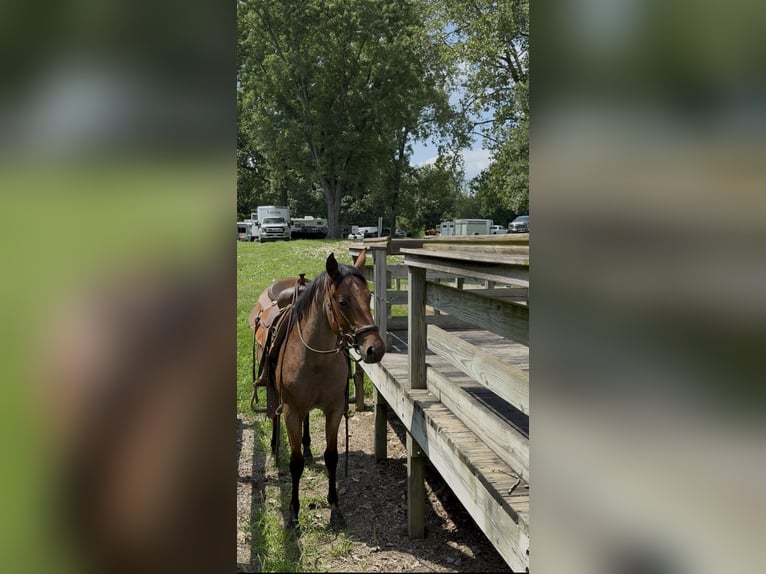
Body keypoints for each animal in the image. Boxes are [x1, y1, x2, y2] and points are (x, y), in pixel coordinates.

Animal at [249, 249, 385, 527]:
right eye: (342, 302)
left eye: (368, 297)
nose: (374, 349)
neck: (315, 359)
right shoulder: (291, 410)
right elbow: (295, 463)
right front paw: (293, 512)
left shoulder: (335, 409)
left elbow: (332, 457)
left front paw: (335, 506)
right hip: (277, 394)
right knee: (275, 415)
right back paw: (275, 447)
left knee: (308, 422)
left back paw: (309, 446)